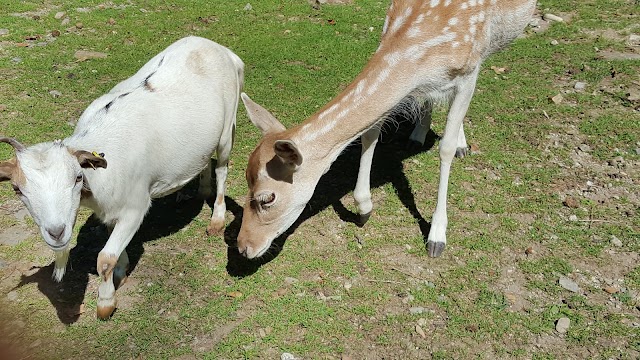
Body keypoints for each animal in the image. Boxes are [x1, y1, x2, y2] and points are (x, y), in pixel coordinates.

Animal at [0, 35, 245, 318]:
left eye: (77, 178)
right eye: (17, 189)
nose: (56, 232)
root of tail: (222, 49)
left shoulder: (136, 207)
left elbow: (104, 258)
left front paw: (106, 303)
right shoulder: (108, 208)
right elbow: (113, 245)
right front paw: (122, 269)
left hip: (228, 127)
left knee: (222, 169)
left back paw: (216, 219)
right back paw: (199, 190)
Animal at [238, 0, 536, 258]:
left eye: (267, 198)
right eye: (245, 179)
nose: (243, 247)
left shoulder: (467, 72)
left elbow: (446, 147)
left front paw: (437, 236)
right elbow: (371, 133)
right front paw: (364, 208)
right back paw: (418, 134)